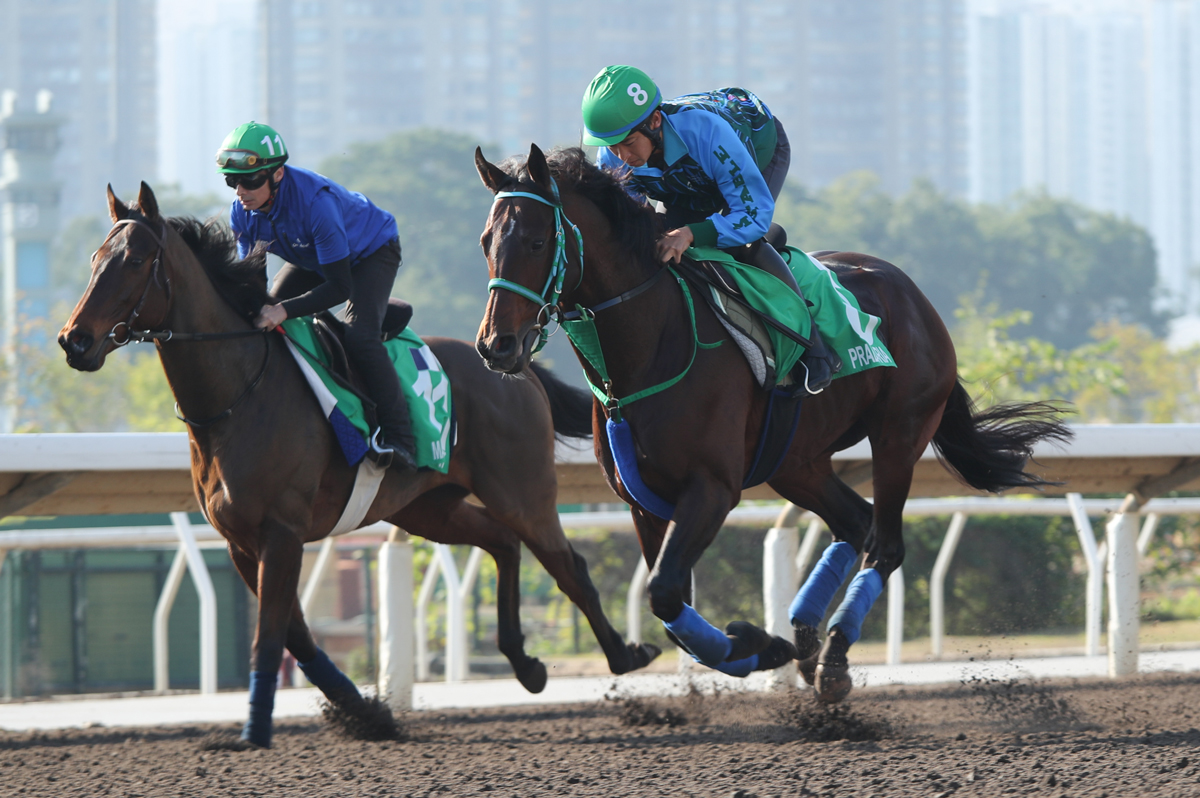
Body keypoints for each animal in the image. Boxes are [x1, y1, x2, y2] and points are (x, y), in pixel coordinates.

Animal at [58, 183, 657, 744]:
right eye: (94, 259)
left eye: (136, 261)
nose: (74, 340)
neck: (238, 392)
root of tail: (516, 367)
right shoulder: (240, 540)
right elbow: (295, 634)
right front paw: (364, 711)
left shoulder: (281, 531)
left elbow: (269, 634)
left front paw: (254, 731)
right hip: (426, 507)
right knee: (503, 543)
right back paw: (525, 662)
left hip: (522, 492)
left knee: (567, 566)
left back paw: (628, 656)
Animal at [470, 146, 1070, 700]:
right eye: (486, 241)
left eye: (537, 242)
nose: (497, 346)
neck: (651, 345)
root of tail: (914, 294)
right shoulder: (642, 501)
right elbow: (671, 606)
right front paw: (763, 646)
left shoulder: (713, 489)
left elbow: (664, 591)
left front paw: (758, 643)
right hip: (795, 462)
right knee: (856, 522)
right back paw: (806, 637)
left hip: (899, 434)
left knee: (886, 544)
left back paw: (832, 659)